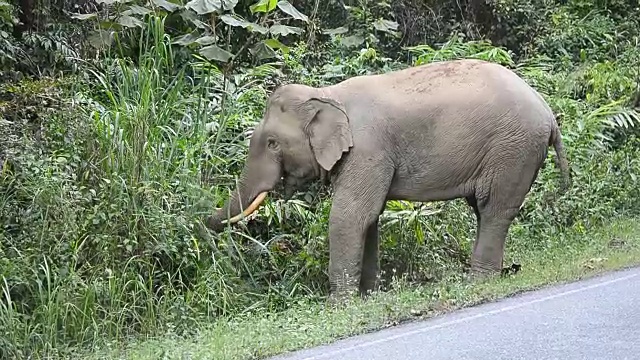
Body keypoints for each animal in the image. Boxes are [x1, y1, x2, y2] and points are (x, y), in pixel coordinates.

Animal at [208, 59, 572, 300]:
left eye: (272, 143)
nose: (203, 224)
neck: (326, 95)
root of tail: (549, 113)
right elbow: (369, 219)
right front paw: (369, 296)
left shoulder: (368, 150)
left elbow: (350, 215)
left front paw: (339, 305)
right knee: (485, 210)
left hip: (513, 149)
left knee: (494, 209)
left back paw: (477, 282)